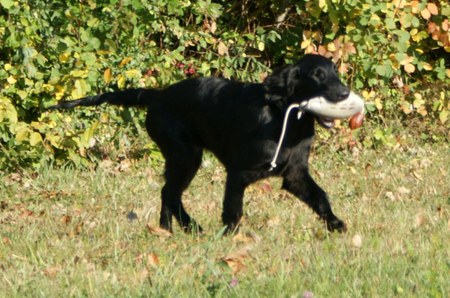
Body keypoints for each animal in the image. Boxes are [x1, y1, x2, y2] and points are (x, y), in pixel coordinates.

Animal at [50, 54, 352, 234]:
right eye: (317, 75)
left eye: (335, 72)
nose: (344, 93)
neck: (284, 119)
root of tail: (159, 96)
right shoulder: (238, 173)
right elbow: (233, 210)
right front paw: (230, 238)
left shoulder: (295, 173)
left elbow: (320, 197)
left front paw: (336, 224)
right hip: (185, 155)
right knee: (169, 192)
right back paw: (180, 228)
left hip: (185, 157)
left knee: (169, 193)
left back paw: (175, 228)